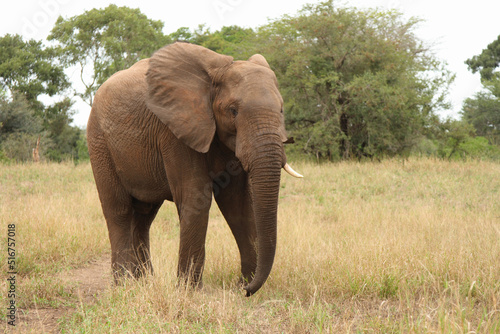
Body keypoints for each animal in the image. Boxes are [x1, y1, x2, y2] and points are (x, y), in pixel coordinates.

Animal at [88, 42, 302, 298]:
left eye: (281, 110)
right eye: (233, 111)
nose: (244, 289)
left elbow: (238, 204)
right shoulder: (175, 132)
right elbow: (196, 197)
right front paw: (189, 292)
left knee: (144, 215)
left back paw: (144, 282)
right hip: (99, 142)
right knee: (118, 211)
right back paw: (124, 285)